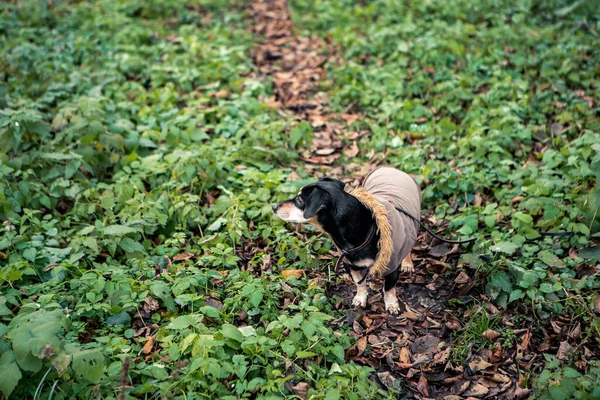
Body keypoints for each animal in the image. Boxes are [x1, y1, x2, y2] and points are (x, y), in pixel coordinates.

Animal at [274, 166, 422, 312]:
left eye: (299, 200)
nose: (274, 207)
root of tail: (390, 168)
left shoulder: (391, 266)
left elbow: (389, 288)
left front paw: (391, 304)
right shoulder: (350, 265)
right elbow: (359, 283)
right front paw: (360, 298)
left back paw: (407, 263)